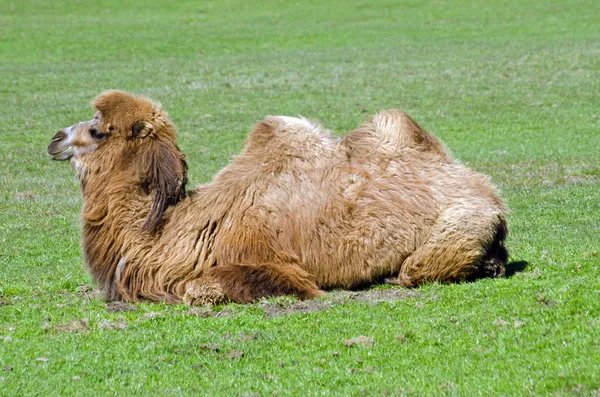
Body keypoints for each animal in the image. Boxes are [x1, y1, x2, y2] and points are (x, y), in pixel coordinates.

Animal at [47, 90, 508, 306]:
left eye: (98, 130)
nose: (55, 139)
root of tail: (484, 187)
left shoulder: (277, 264)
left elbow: (201, 288)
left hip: (462, 225)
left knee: (418, 269)